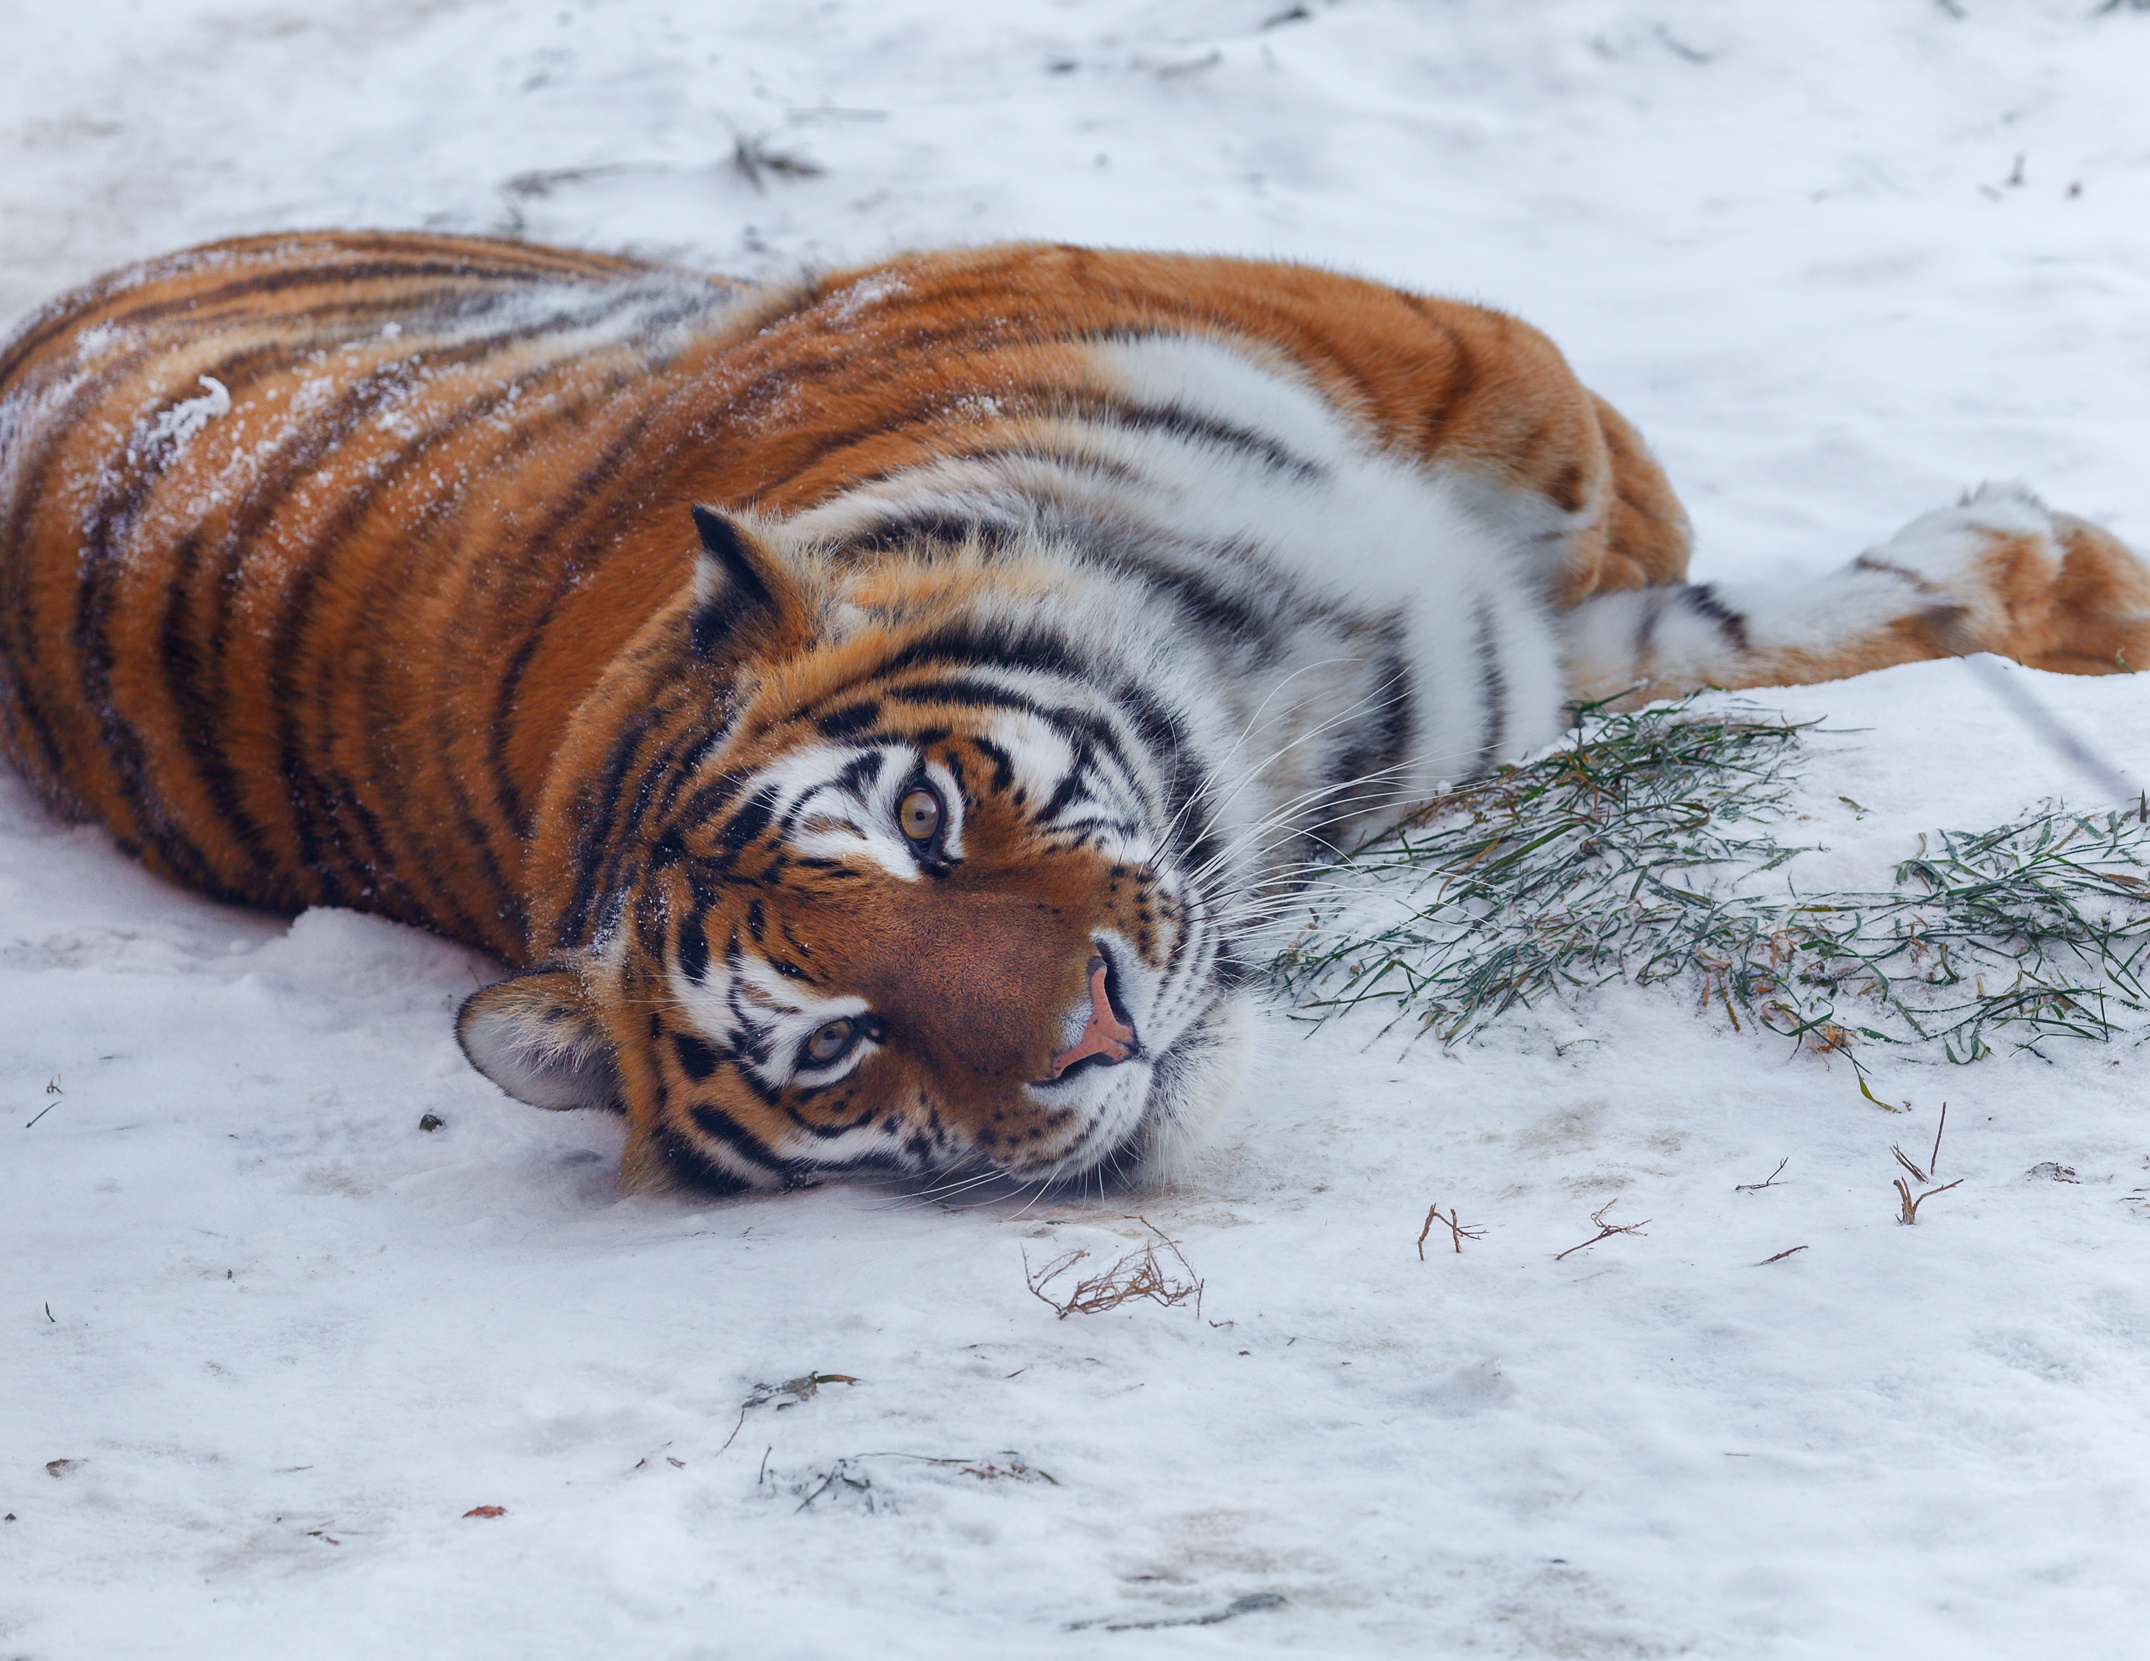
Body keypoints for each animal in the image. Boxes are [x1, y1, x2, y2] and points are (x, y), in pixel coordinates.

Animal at [4, 233, 2150, 1194]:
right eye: (835, 1049)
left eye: (926, 825)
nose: (1094, 1035)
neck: (1286, 705)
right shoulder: (1515, 675)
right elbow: (1734, 622)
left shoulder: (1428, 364)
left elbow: (1637, 498)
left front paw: (2072, 581)